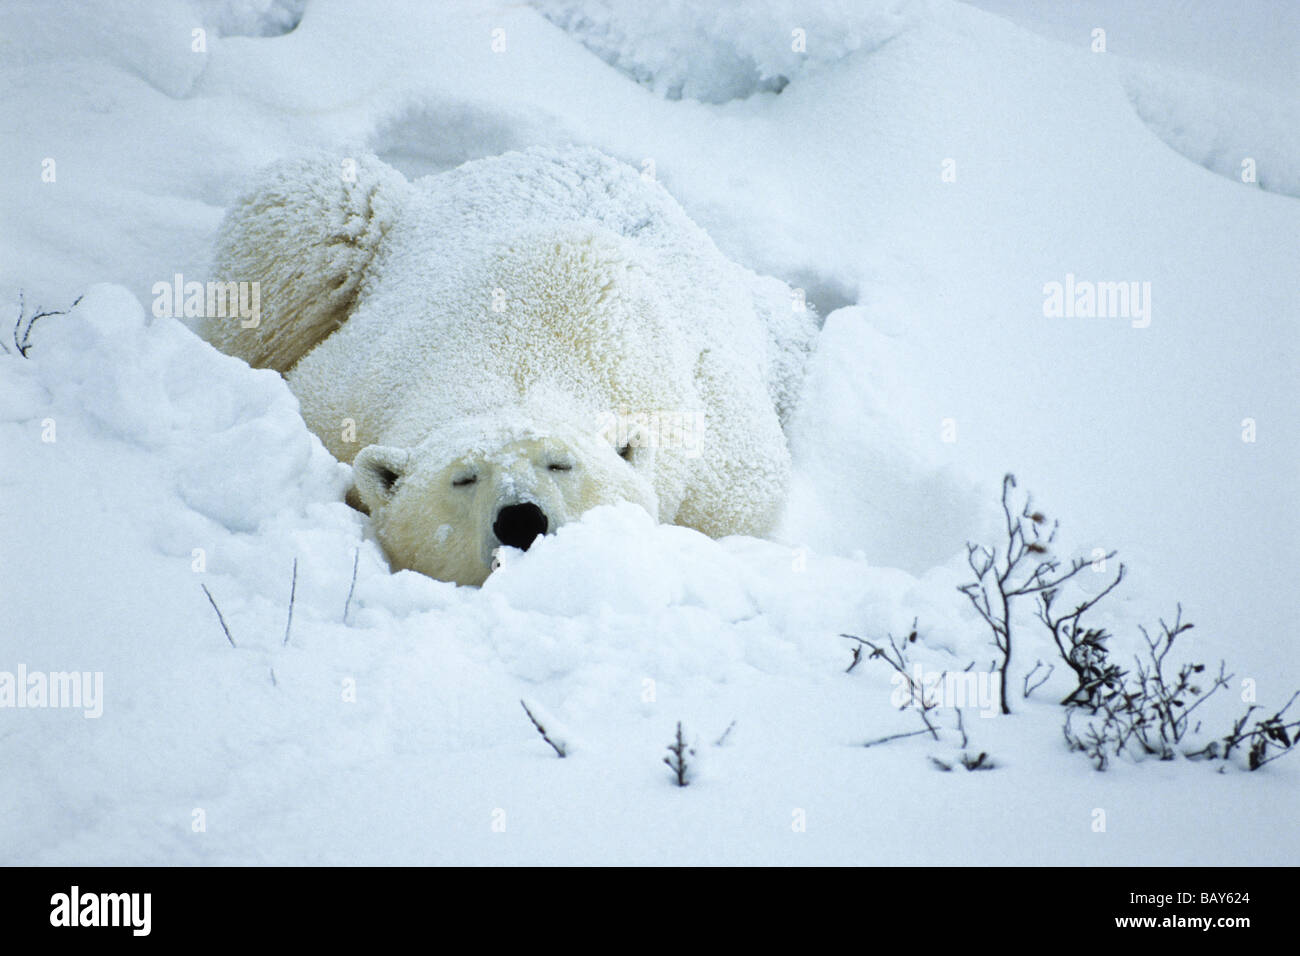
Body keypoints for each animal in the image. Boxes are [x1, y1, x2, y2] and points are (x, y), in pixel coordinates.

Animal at [200, 146, 817, 586]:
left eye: (562, 465)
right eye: (463, 477)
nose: (522, 519)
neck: (530, 349)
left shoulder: (712, 450)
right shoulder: (356, 386)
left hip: (773, 322)